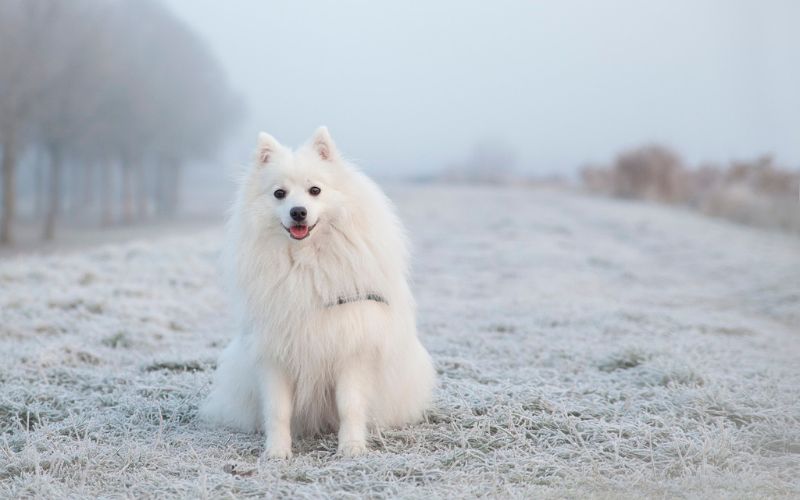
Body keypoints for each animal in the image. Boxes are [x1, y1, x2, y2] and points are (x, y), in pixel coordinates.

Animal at [200, 126, 438, 458]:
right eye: (279, 193)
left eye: (315, 190)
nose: (298, 212)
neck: (306, 263)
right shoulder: (275, 354)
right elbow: (277, 410)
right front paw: (276, 452)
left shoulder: (352, 348)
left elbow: (350, 405)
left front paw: (351, 448)